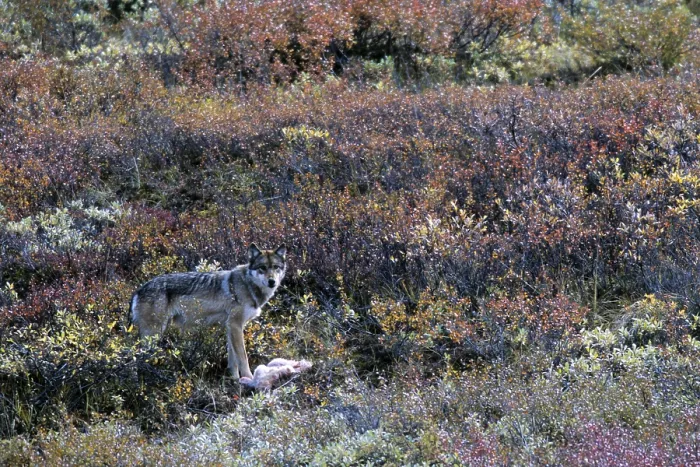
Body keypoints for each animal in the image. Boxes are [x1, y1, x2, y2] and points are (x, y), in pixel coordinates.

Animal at [130, 243, 287, 380]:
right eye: (262, 268)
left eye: (276, 267)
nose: (272, 281)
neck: (247, 285)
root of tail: (139, 289)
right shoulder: (235, 325)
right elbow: (242, 357)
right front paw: (249, 379)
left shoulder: (230, 327)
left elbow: (233, 359)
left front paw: (235, 380)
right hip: (153, 335)